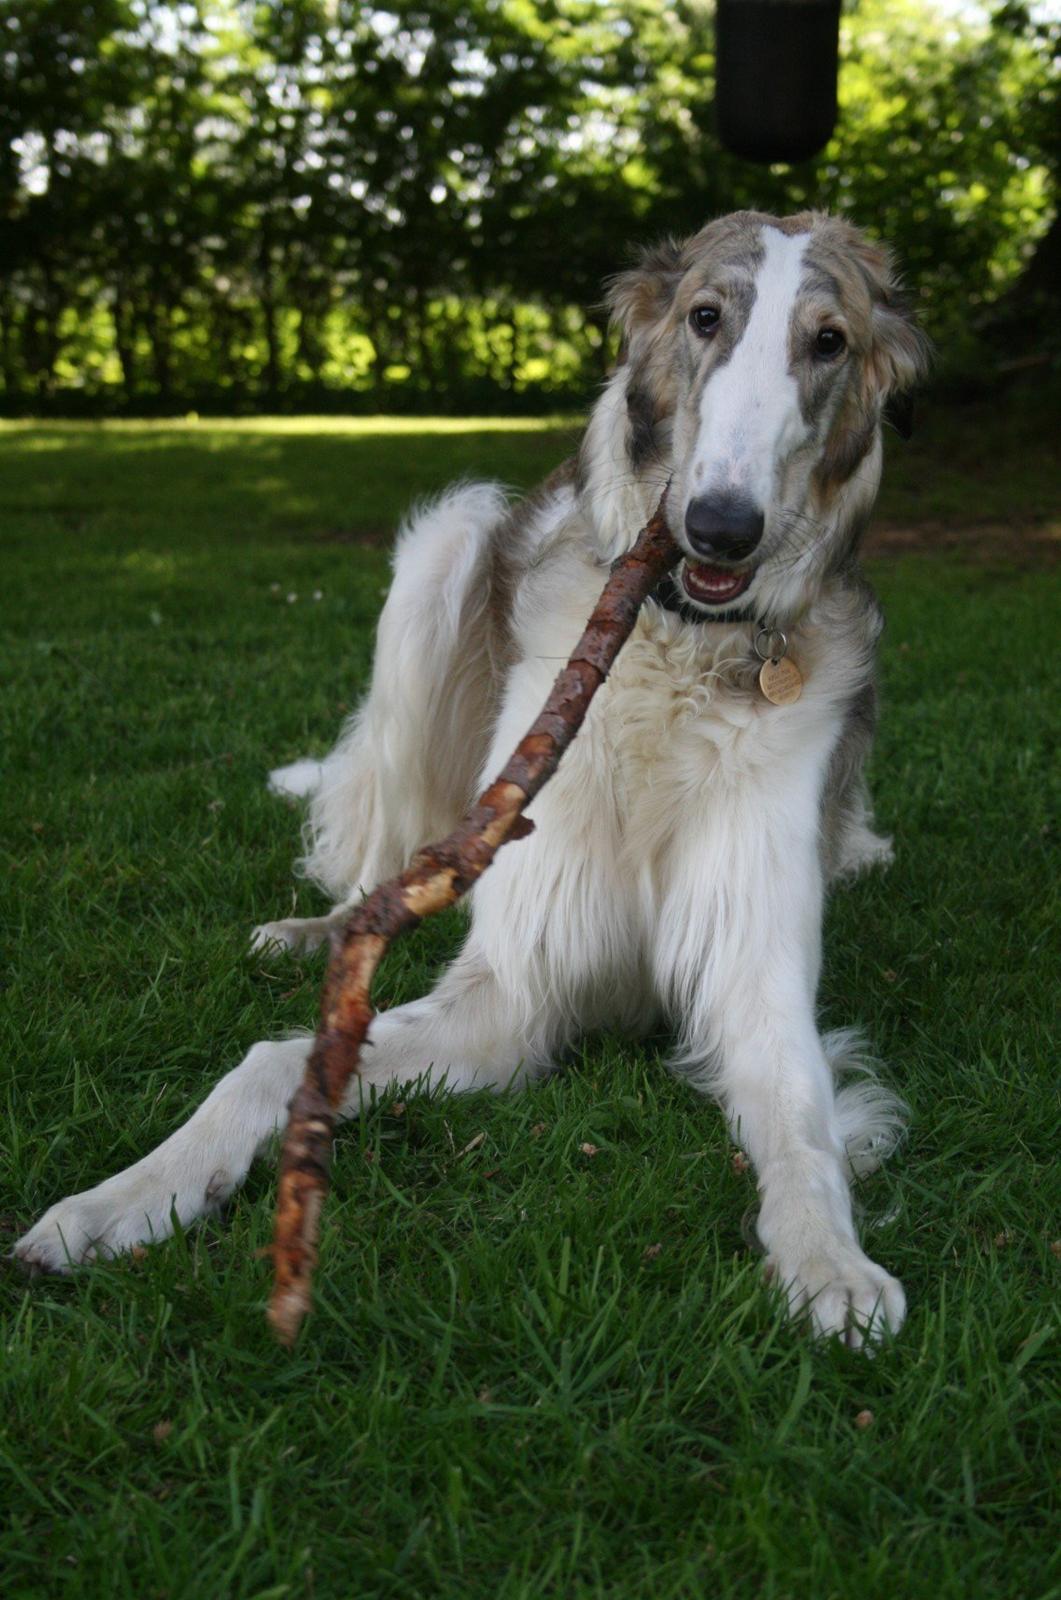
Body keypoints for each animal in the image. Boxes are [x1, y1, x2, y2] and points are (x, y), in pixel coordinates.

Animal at [14, 206, 928, 1344]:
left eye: (827, 341)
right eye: (705, 317)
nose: (721, 527)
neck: (678, 656)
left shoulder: (754, 978)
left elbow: (800, 1130)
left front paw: (829, 1262)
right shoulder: (512, 989)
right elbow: (270, 1061)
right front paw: (121, 1200)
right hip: (441, 552)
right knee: (383, 864)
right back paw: (313, 927)